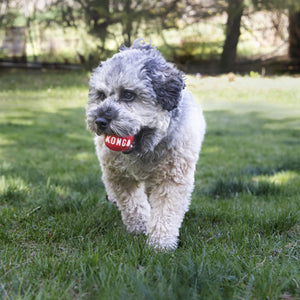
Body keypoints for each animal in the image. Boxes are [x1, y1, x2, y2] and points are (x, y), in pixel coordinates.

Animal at [85, 39, 205, 251]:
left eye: (128, 95)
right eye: (101, 95)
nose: (100, 121)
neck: (144, 151)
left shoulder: (172, 179)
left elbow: (166, 211)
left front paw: (160, 243)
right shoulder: (118, 176)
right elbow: (132, 203)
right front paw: (140, 226)